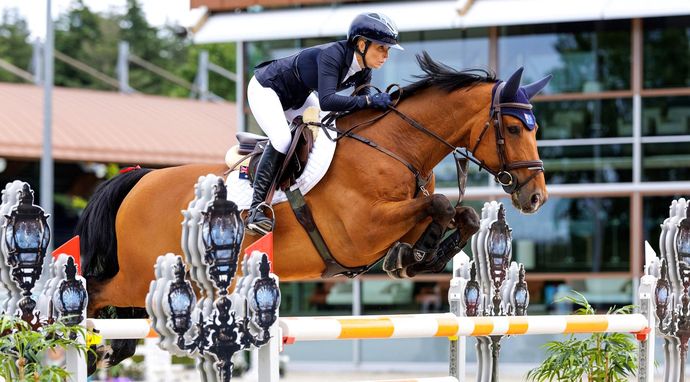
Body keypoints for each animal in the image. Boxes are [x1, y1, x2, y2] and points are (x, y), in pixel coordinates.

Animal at [75, 52, 548, 368]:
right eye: (511, 128)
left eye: (535, 127)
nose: (536, 198)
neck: (397, 146)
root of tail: (139, 178)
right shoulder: (361, 232)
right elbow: (438, 203)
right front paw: (411, 257)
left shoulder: (399, 220)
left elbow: (456, 215)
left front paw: (413, 258)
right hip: (137, 276)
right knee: (94, 292)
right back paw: (87, 345)